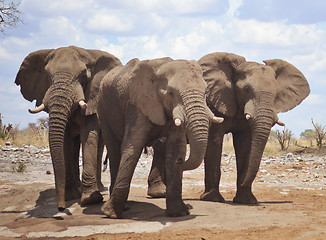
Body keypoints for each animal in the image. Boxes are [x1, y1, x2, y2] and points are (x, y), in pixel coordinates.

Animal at [14, 46, 122, 211]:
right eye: (47, 75)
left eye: (83, 76)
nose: (61, 208)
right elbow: (65, 140)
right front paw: (71, 196)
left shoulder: (92, 97)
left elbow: (88, 134)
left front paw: (90, 199)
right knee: (74, 146)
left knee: (98, 145)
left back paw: (98, 187)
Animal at [98, 57, 223, 218]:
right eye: (171, 93)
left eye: (205, 92)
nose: (181, 161)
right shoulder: (137, 104)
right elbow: (133, 146)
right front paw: (110, 213)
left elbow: (176, 146)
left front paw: (179, 213)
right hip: (102, 108)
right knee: (113, 150)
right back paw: (121, 208)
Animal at [197, 52, 310, 204]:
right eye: (246, 90)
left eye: (276, 93)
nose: (244, 182)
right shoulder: (214, 103)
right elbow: (214, 141)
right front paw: (212, 199)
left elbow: (245, 145)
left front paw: (246, 201)